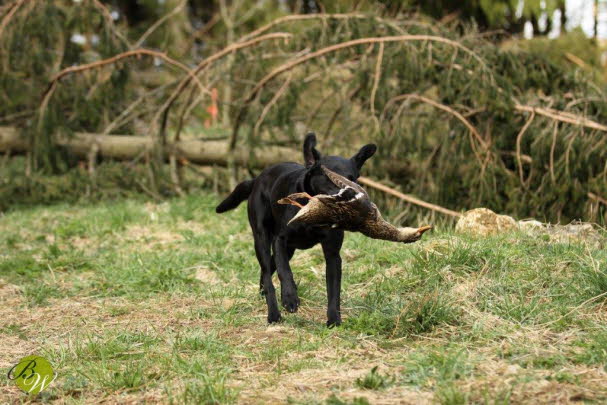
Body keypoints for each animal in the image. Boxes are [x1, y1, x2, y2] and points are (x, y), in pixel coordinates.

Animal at [214, 133, 376, 326]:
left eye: (352, 178)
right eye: (328, 176)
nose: (349, 194)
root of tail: (258, 178)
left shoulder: (332, 254)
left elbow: (334, 289)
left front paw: (334, 320)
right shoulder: (280, 240)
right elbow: (285, 272)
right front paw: (290, 298)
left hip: (288, 249)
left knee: (269, 268)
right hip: (262, 238)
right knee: (268, 274)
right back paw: (273, 314)